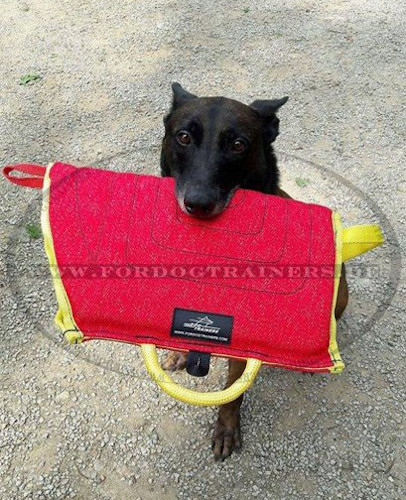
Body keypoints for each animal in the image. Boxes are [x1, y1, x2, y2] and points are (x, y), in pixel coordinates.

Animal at [160, 83, 348, 460]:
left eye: (238, 144)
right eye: (184, 137)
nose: (198, 204)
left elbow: (233, 389)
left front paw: (226, 428)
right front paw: (178, 350)